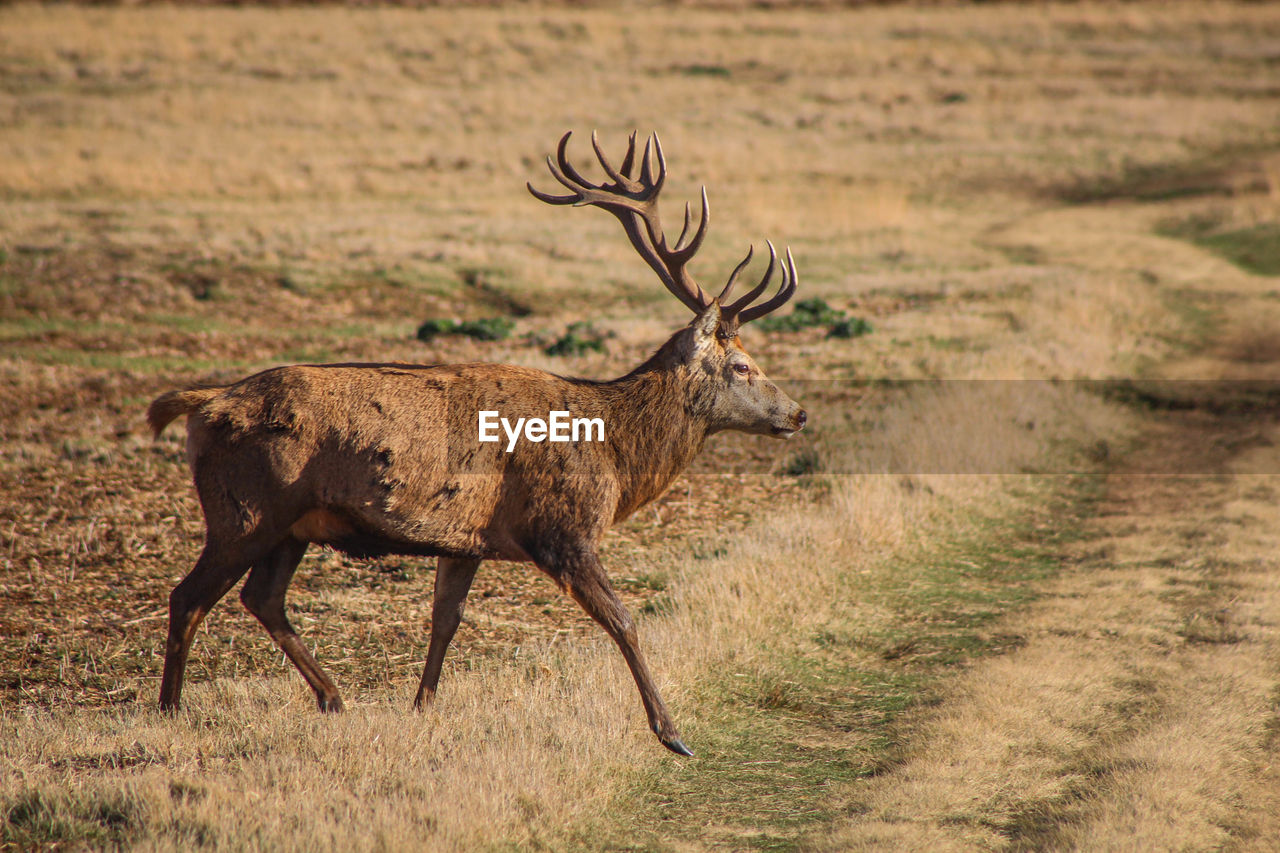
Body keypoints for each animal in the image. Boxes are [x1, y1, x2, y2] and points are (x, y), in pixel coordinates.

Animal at [149, 131, 803, 753]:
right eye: (742, 366)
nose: (797, 414)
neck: (614, 454)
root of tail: (202, 405)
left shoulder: (466, 540)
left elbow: (446, 620)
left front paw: (421, 707)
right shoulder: (561, 528)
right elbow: (623, 620)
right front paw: (671, 732)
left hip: (291, 526)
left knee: (262, 598)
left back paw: (332, 699)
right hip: (245, 511)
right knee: (189, 598)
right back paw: (170, 713)